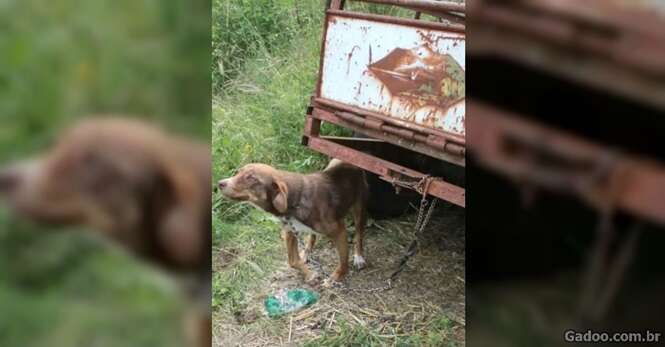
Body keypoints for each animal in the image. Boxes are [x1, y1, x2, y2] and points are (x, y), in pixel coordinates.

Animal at [222, 159, 368, 286]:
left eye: (251, 178)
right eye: (238, 172)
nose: (220, 183)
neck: (294, 202)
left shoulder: (339, 231)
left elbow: (343, 263)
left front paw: (335, 279)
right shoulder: (290, 231)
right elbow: (292, 261)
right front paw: (310, 275)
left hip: (359, 209)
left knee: (359, 233)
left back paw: (359, 257)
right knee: (312, 235)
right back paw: (307, 251)